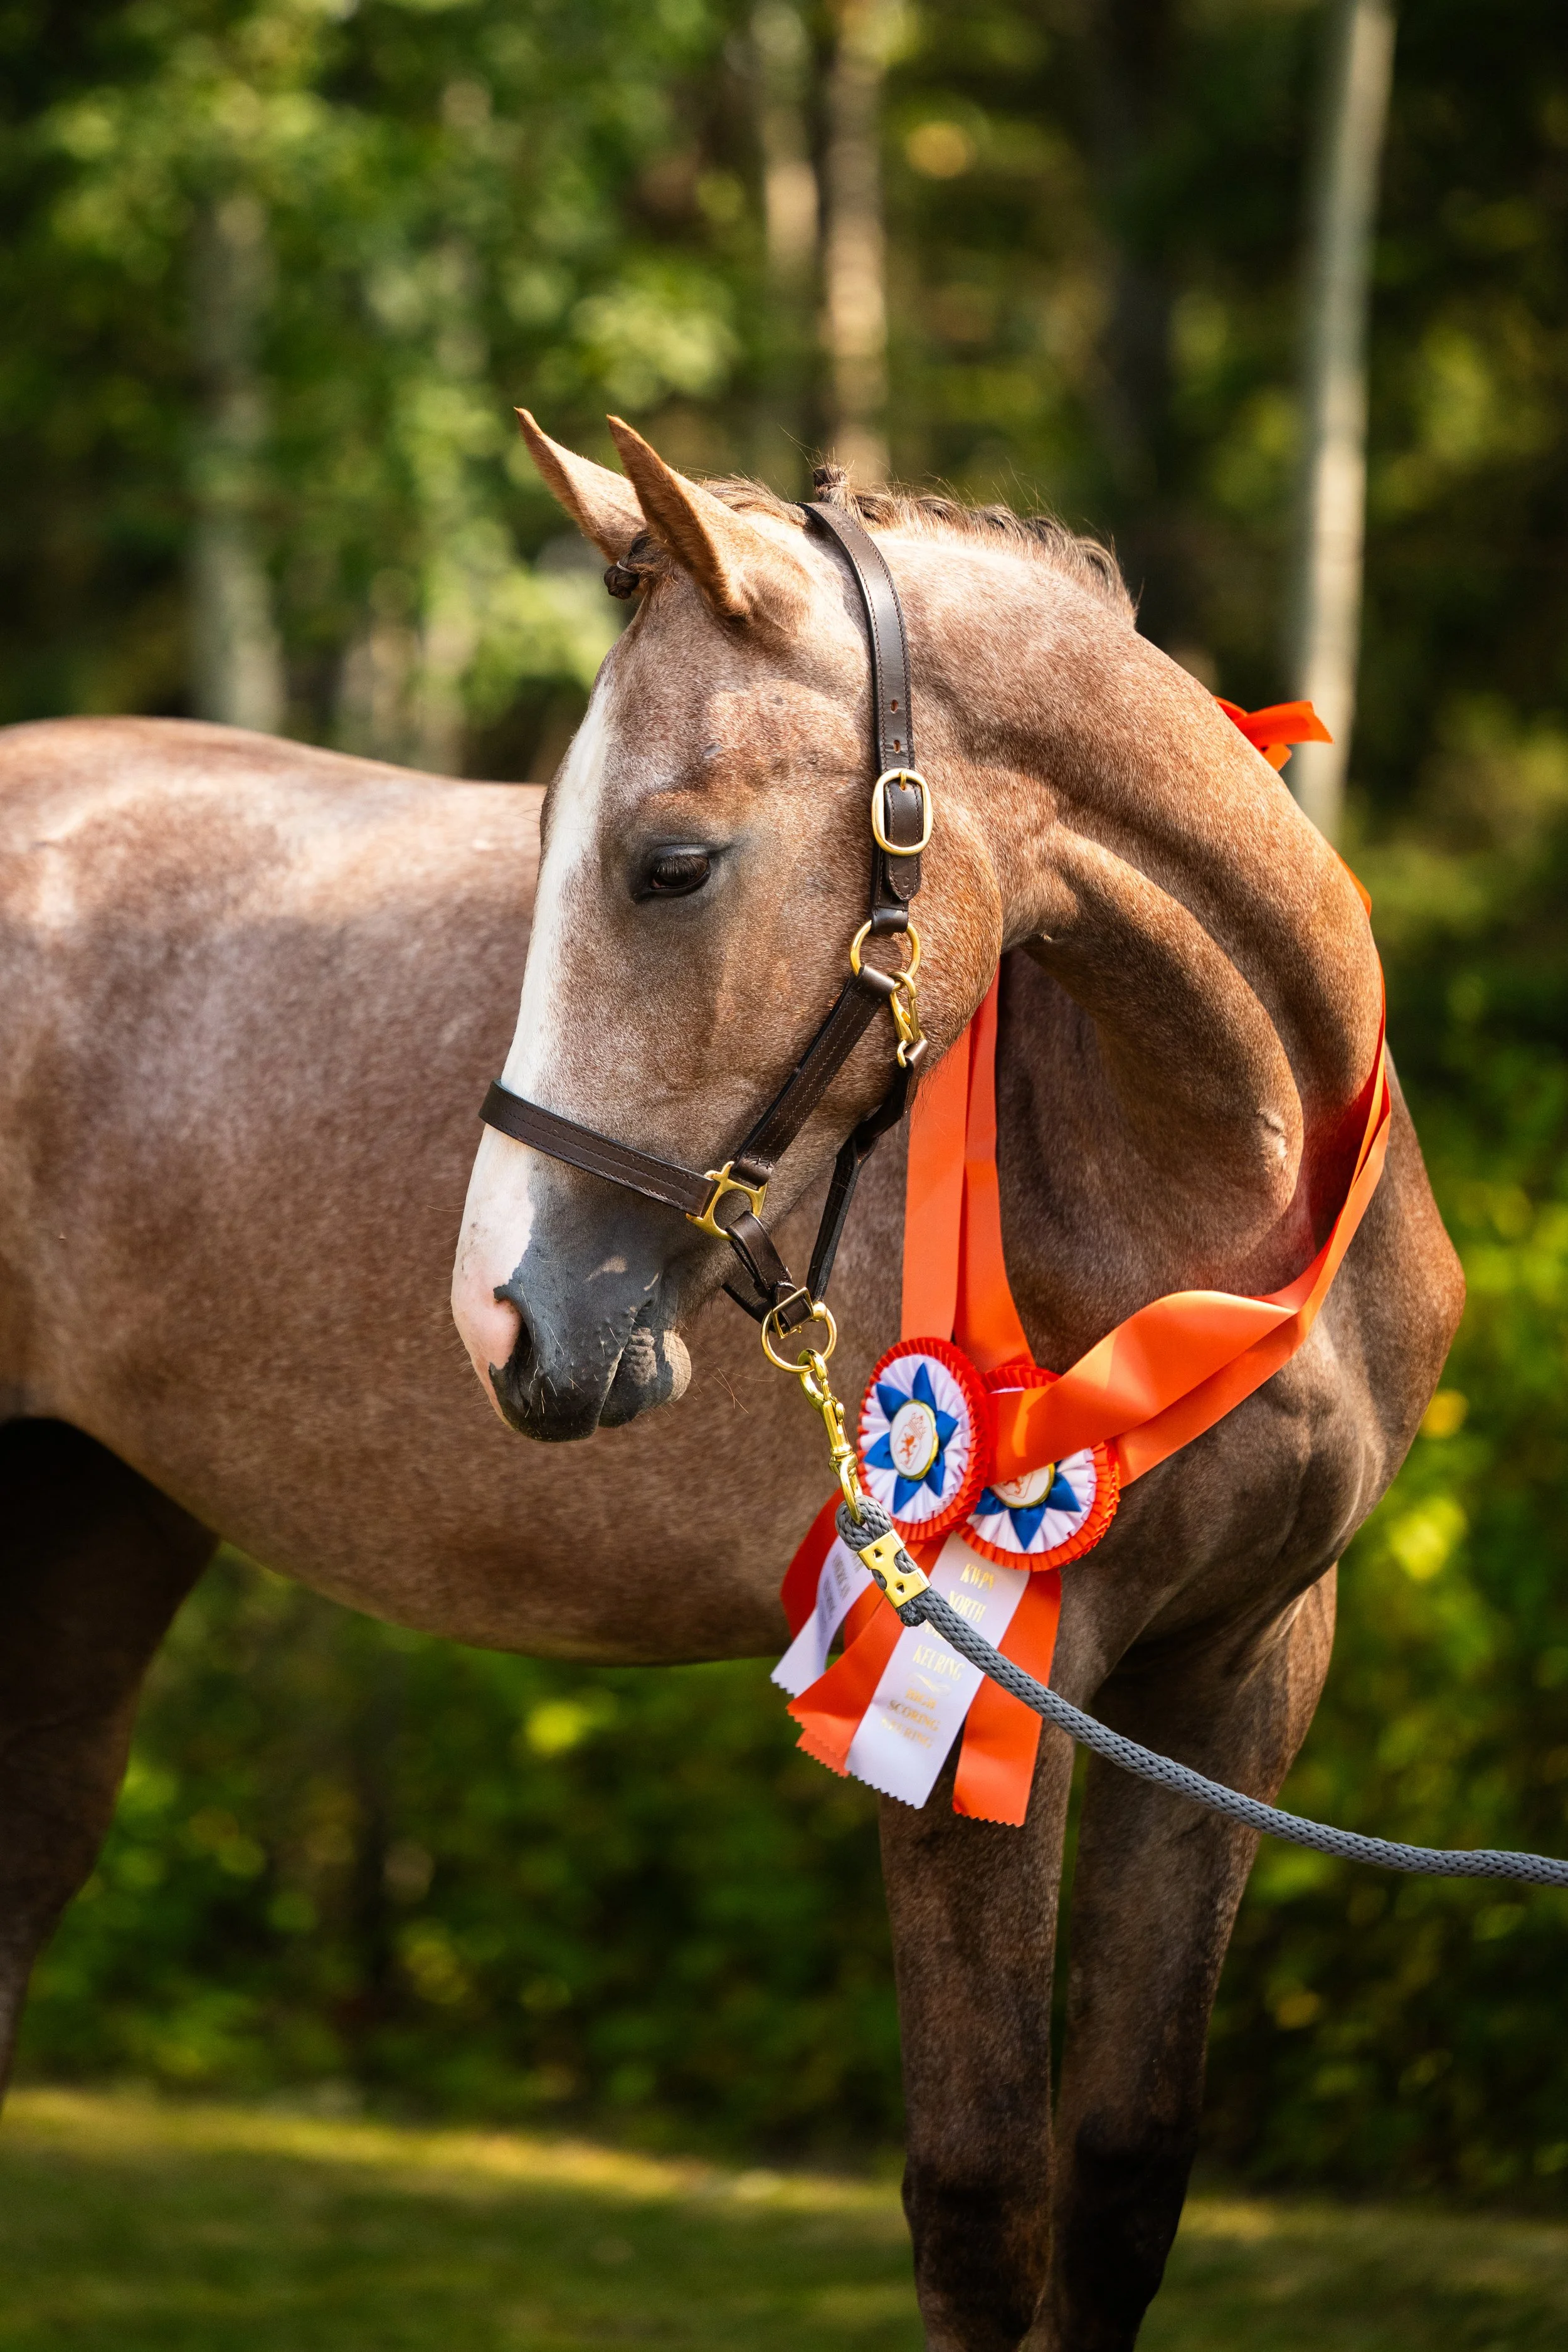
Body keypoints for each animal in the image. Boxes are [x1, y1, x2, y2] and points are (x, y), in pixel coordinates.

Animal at [0, 417, 1462, 2351]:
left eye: (670, 864)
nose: (502, 1315)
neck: (1206, 1174)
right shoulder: (971, 1683)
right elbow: (984, 2202)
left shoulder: (1231, 1678)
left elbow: (1124, 2175)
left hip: (92, 1519)